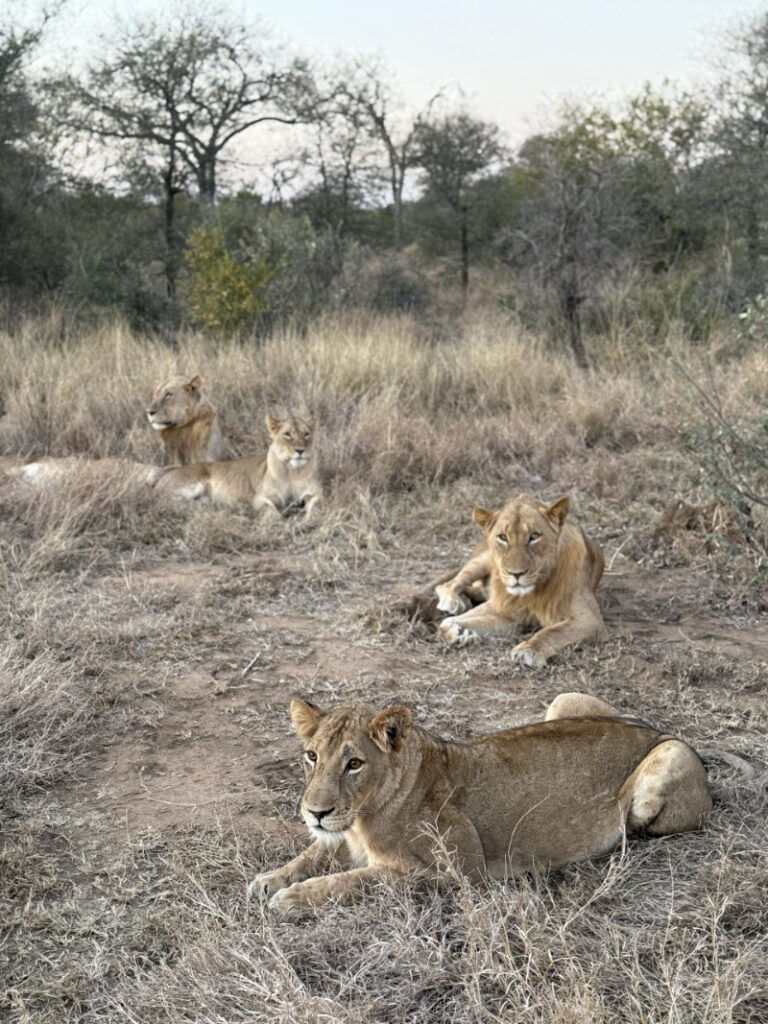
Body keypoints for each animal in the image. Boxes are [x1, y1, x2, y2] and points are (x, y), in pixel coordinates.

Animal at [154, 413, 321, 517]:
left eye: (306, 434)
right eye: (287, 434)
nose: (300, 450)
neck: (292, 471)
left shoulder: (315, 494)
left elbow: (316, 507)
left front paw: (310, 519)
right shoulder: (260, 497)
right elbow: (270, 511)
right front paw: (275, 521)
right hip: (192, 484)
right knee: (168, 501)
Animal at [249, 692, 712, 915]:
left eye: (355, 764)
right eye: (312, 756)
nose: (315, 812)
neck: (365, 816)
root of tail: (663, 730)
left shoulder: (454, 872)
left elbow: (358, 880)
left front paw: (292, 899)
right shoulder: (341, 839)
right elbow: (310, 855)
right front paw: (269, 880)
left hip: (656, 782)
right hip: (565, 700)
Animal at [434, 493, 606, 666]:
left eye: (534, 536)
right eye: (503, 537)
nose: (516, 574)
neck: (534, 592)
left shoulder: (590, 620)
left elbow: (553, 632)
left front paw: (528, 650)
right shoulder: (507, 612)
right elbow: (452, 624)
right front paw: (460, 632)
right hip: (483, 562)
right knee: (446, 586)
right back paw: (453, 602)